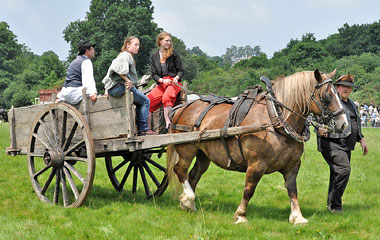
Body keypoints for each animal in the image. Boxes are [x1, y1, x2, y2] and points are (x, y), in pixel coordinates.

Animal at [166, 68, 348, 224]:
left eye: (338, 94)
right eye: (326, 96)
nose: (344, 124)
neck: (275, 120)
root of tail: (182, 107)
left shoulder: (293, 165)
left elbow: (292, 189)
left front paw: (297, 217)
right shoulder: (256, 165)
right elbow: (249, 190)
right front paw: (240, 215)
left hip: (204, 154)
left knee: (194, 174)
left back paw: (189, 204)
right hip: (187, 149)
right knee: (180, 170)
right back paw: (188, 198)